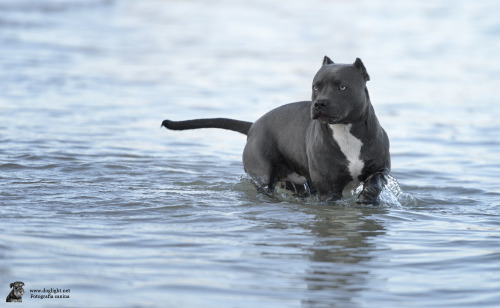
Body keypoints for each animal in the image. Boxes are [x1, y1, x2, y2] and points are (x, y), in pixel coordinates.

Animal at [163, 56, 390, 205]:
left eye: (342, 87)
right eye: (316, 86)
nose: (319, 104)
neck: (344, 130)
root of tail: (253, 125)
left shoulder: (380, 168)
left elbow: (376, 180)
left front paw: (369, 197)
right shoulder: (327, 189)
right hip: (263, 174)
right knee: (265, 187)